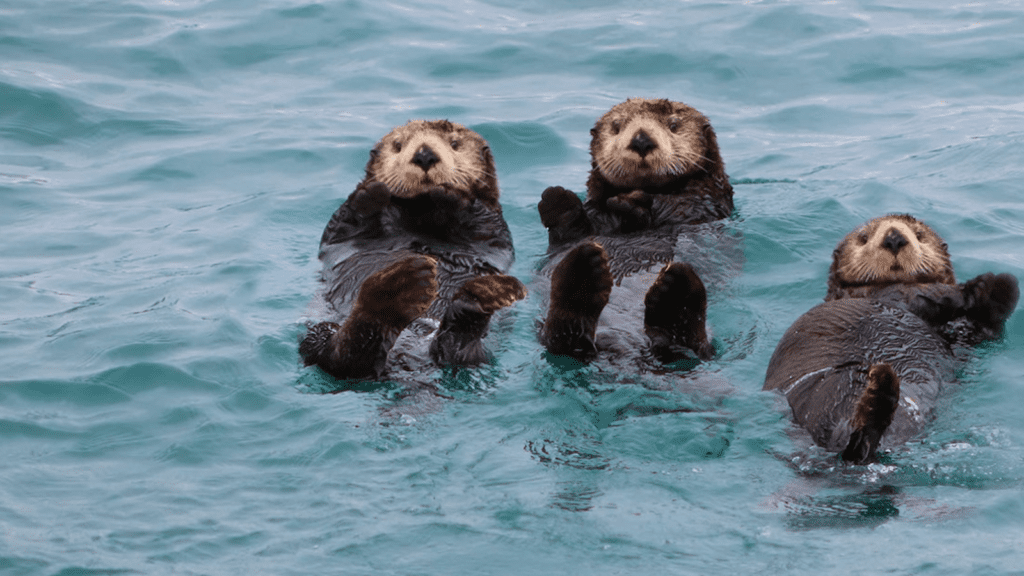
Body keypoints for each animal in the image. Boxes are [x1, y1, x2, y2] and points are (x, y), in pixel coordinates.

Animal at [299, 119, 524, 381]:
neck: (421, 215)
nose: (424, 155)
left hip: (480, 354)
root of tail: (410, 356)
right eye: (398, 145)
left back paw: (476, 299)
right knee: (340, 358)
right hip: (318, 331)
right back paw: (398, 289)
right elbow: (345, 222)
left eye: (455, 144)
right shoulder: (340, 232)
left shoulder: (494, 229)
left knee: (457, 353)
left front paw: (449, 194)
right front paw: (373, 192)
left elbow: (482, 222)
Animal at [536, 96, 737, 360]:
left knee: (693, 348)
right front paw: (557, 199)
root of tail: (623, 345)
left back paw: (676, 293)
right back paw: (583, 272)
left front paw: (630, 203)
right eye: (617, 126)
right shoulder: (592, 221)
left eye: (674, 125)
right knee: (561, 340)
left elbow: (676, 206)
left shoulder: (703, 204)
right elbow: (573, 229)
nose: (641, 140)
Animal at [765, 214, 1019, 461]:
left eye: (919, 234)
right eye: (864, 237)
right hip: (827, 393)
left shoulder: (964, 337)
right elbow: (927, 295)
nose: (894, 238)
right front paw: (980, 287)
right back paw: (879, 393)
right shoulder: (889, 293)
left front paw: (990, 288)